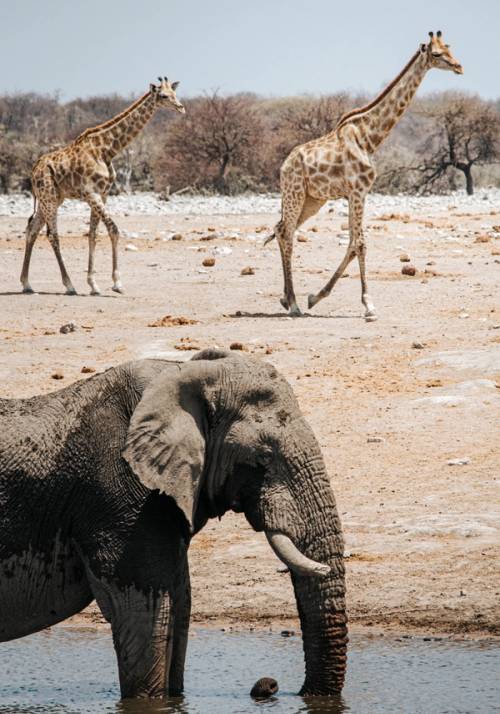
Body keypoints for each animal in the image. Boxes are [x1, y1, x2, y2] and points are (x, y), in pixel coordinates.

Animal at [21, 77, 185, 296]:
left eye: (175, 93)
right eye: (164, 96)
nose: (181, 107)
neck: (107, 150)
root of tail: (34, 169)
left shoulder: (103, 194)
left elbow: (93, 235)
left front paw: (94, 284)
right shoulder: (92, 194)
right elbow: (113, 229)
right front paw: (117, 283)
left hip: (53, 199)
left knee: (32, 230)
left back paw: (27, 284)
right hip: (48, 198)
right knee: (52, 235)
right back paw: (69, 285)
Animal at [266, 32, 463, 319]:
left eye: (449, 48)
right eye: (437, 54)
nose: (459, 67)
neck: (370, 137)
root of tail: (284, 165)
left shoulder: (353, 193)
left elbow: (352, 243)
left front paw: (316, 296)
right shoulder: (359, 190)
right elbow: (360, 243)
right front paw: (369, 305)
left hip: (313, 200)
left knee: (281, 229)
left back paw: (285, 299)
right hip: (294, 193)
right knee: (286, 233)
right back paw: (293, 304)